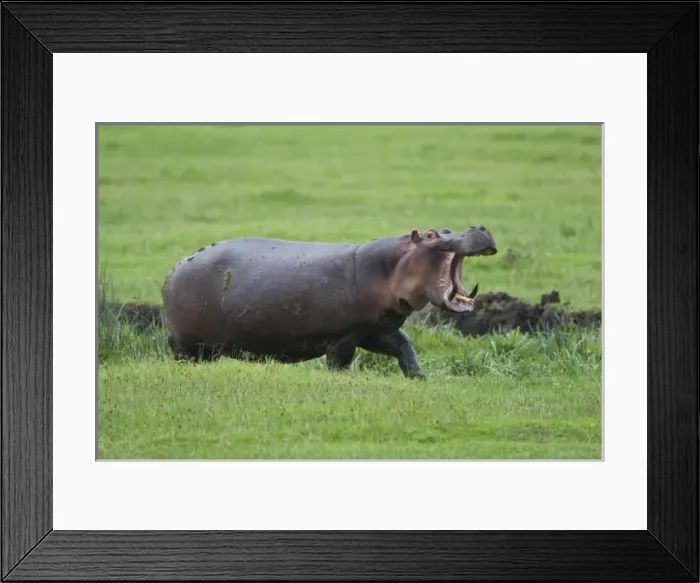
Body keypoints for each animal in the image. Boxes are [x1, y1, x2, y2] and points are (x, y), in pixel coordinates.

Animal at [161, 226, 497, 379]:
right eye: (430, 234)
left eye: (447, 229)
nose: (479, 228)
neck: (389, 268)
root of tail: (175, 268)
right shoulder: (343, 337)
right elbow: (339, 364)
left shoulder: (375, 330)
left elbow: (405, 347)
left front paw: (419, 377)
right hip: (184, 345)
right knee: (182, 358)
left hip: (207, 349)